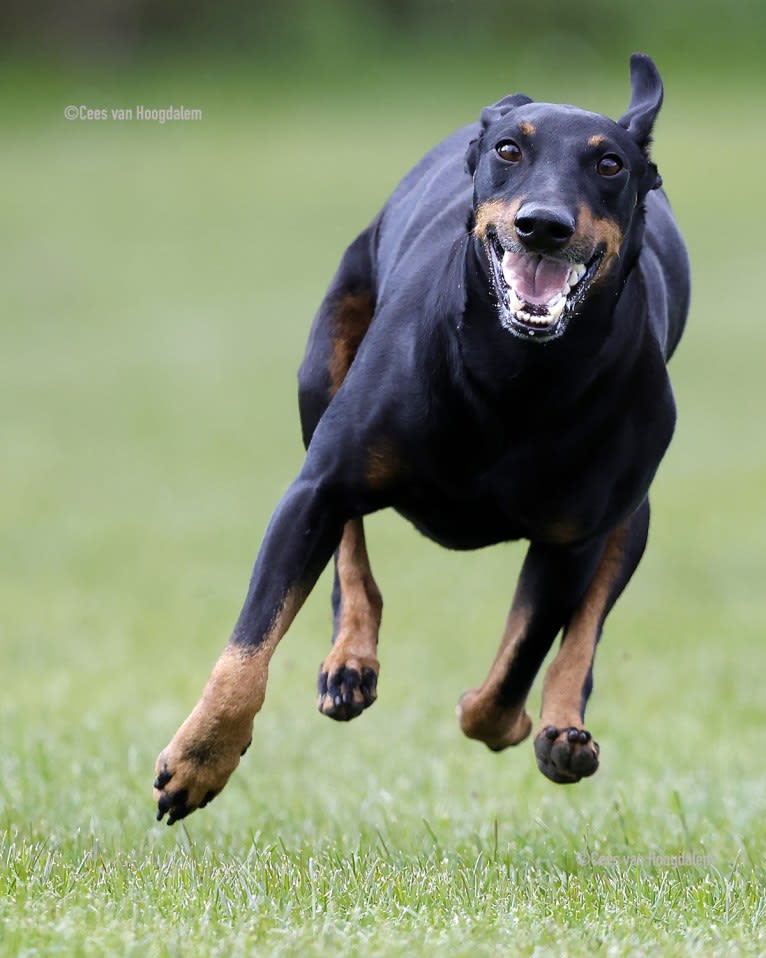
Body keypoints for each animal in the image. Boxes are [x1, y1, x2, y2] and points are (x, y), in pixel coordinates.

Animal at [154, 52, 688, 824]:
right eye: (510, 151)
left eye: (610, 163)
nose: (543, 226)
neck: (517, 371)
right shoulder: (317, 486)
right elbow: (248, 645)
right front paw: (200, 758)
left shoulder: (571, 540)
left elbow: (512, 673)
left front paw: (512, 718)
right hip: (322, 376)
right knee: (349, 544)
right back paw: (349, 660)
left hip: (631, 508)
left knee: (584, 625)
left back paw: (561, 727)